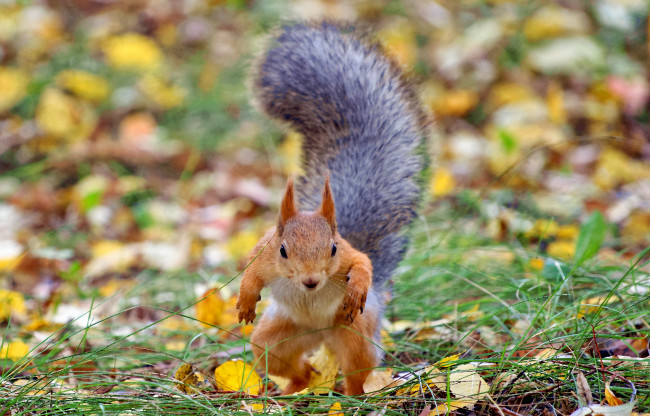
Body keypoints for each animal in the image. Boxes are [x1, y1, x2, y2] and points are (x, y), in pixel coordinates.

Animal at [235, 22, 428, 396]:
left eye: (334, 248)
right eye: (283, 250)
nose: (311, 281)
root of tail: (320, 333)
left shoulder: (348, 257)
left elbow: (363, 263)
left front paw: (356, 286)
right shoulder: (264, 252)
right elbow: (250, 271)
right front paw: (247, 299)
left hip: (356, 334)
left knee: (358, 370)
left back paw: (354, 398)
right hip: (278, 337)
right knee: (280, 360)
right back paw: (297, 388)